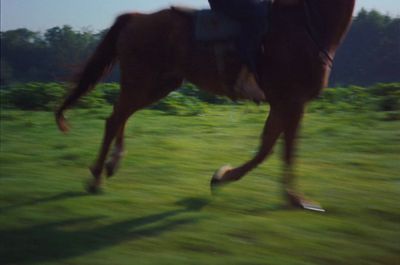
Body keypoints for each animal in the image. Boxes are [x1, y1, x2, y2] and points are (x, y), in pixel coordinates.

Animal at [56, 0, 356, 209]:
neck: (308, 26)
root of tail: (136, 18)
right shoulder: (290, 101)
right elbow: (277, 150)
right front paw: (290, 197)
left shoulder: (289, 103)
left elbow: (271, 147)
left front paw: (223, 176)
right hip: (143, 82)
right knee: (114, 119)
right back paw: (96, 178)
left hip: (158, 85)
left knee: (121, 116)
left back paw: (111, 164)